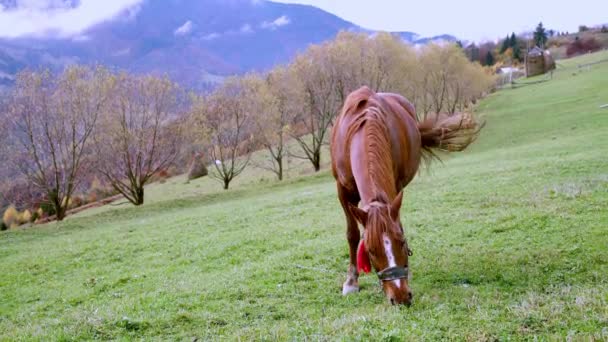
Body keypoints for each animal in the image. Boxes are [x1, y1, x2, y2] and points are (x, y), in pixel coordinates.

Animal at [332, 87, 480, 306]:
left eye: (402, 242)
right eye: (370, 251)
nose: (401, 296)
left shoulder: (395, 188)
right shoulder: (342, 191)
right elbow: (352, 235)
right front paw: (351, 282)